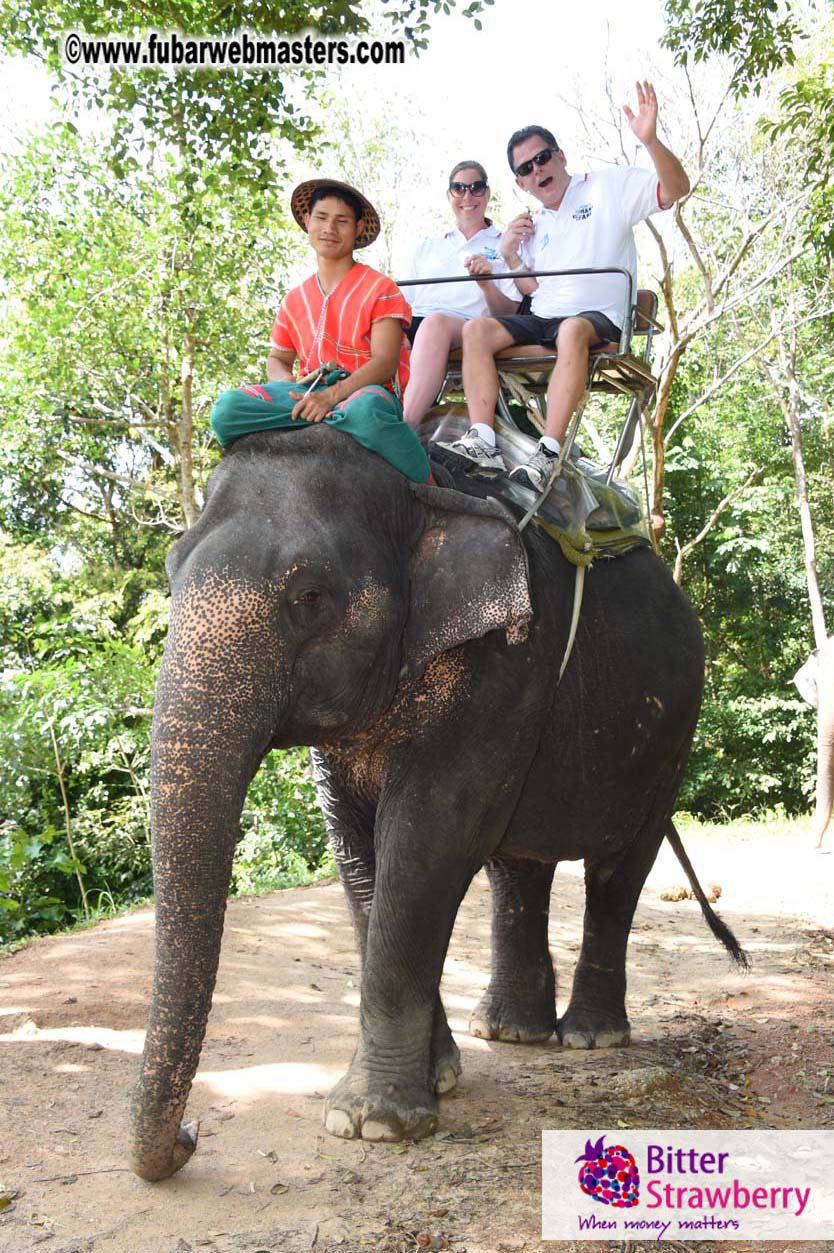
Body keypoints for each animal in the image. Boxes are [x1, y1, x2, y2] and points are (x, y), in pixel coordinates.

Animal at [128, 424, 745, 1182]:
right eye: (169, 571)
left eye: (309, 596)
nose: (190, 1136)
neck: (419, 490)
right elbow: (358, 856)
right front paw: (436, 1080)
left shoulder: (506, 663)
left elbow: (426, 840)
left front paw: (372, 1122)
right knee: (519, 868)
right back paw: (510, 1030)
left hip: (673, 739)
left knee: (618, 870)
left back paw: (591, 1038)